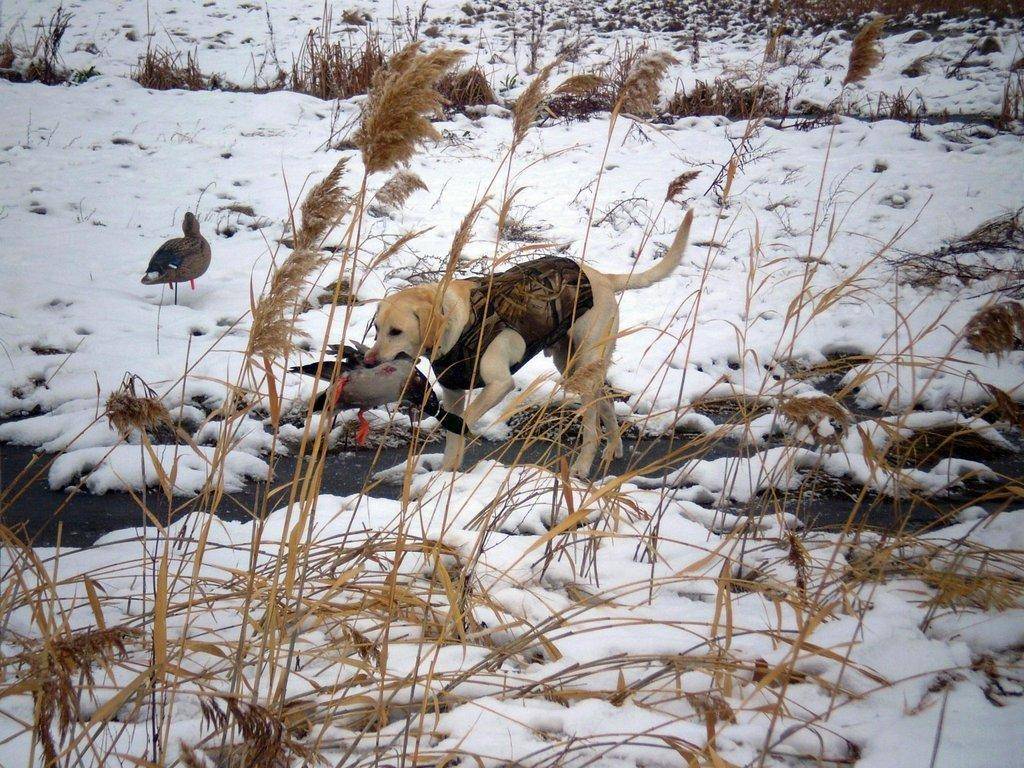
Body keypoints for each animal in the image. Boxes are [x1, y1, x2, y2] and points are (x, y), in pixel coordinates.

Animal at [364, 207, 692, 479]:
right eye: (376, 329)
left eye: (396, 331)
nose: (367, 361)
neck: (459, 322)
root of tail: (601, 277)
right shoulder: (454, 392)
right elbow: (453, 431)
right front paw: (445, 475)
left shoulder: (499, 384)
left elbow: (463, 422)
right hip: (571, 363)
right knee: (607, 401)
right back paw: (614, 447)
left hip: (585, 363)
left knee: (591, 424)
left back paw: (583, 466)